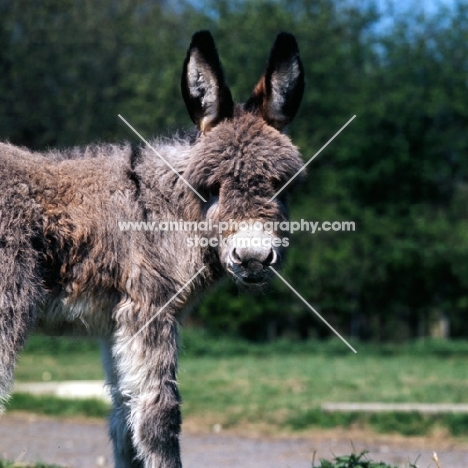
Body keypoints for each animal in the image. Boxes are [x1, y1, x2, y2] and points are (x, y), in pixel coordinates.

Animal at [0, 31, 306, 466]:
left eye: (283, 185)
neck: (163, 211)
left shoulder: (116, 323)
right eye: (211, 188)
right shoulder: (149, 308)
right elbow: (159, 416)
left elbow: (124, 418)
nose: (252, 258)